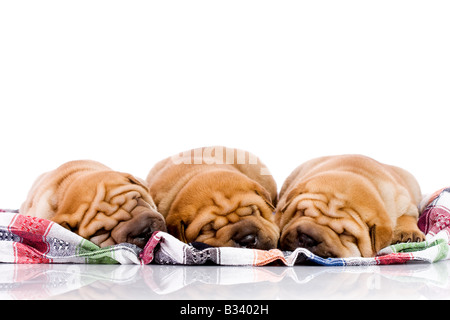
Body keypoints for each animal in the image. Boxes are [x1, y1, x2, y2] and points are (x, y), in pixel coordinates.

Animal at [274, 155, 426, 258]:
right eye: (301, 212)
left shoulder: (405, 201)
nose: (307, 238)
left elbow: (407, 217)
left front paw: (409, 233)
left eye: (346, 233)